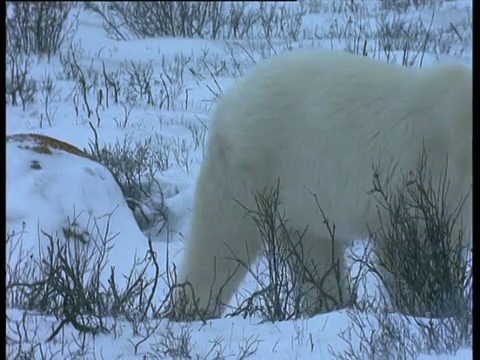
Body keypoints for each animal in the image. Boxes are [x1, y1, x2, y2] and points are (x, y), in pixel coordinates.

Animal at [173, 49, 472, 320]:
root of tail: (227, 103)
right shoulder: (426, 175)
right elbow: (413, 247)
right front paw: (430, 304)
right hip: (255, 169)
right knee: (222, 238)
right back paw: (191, 308)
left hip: (299, 199)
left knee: (313, 253)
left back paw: (330, 304)